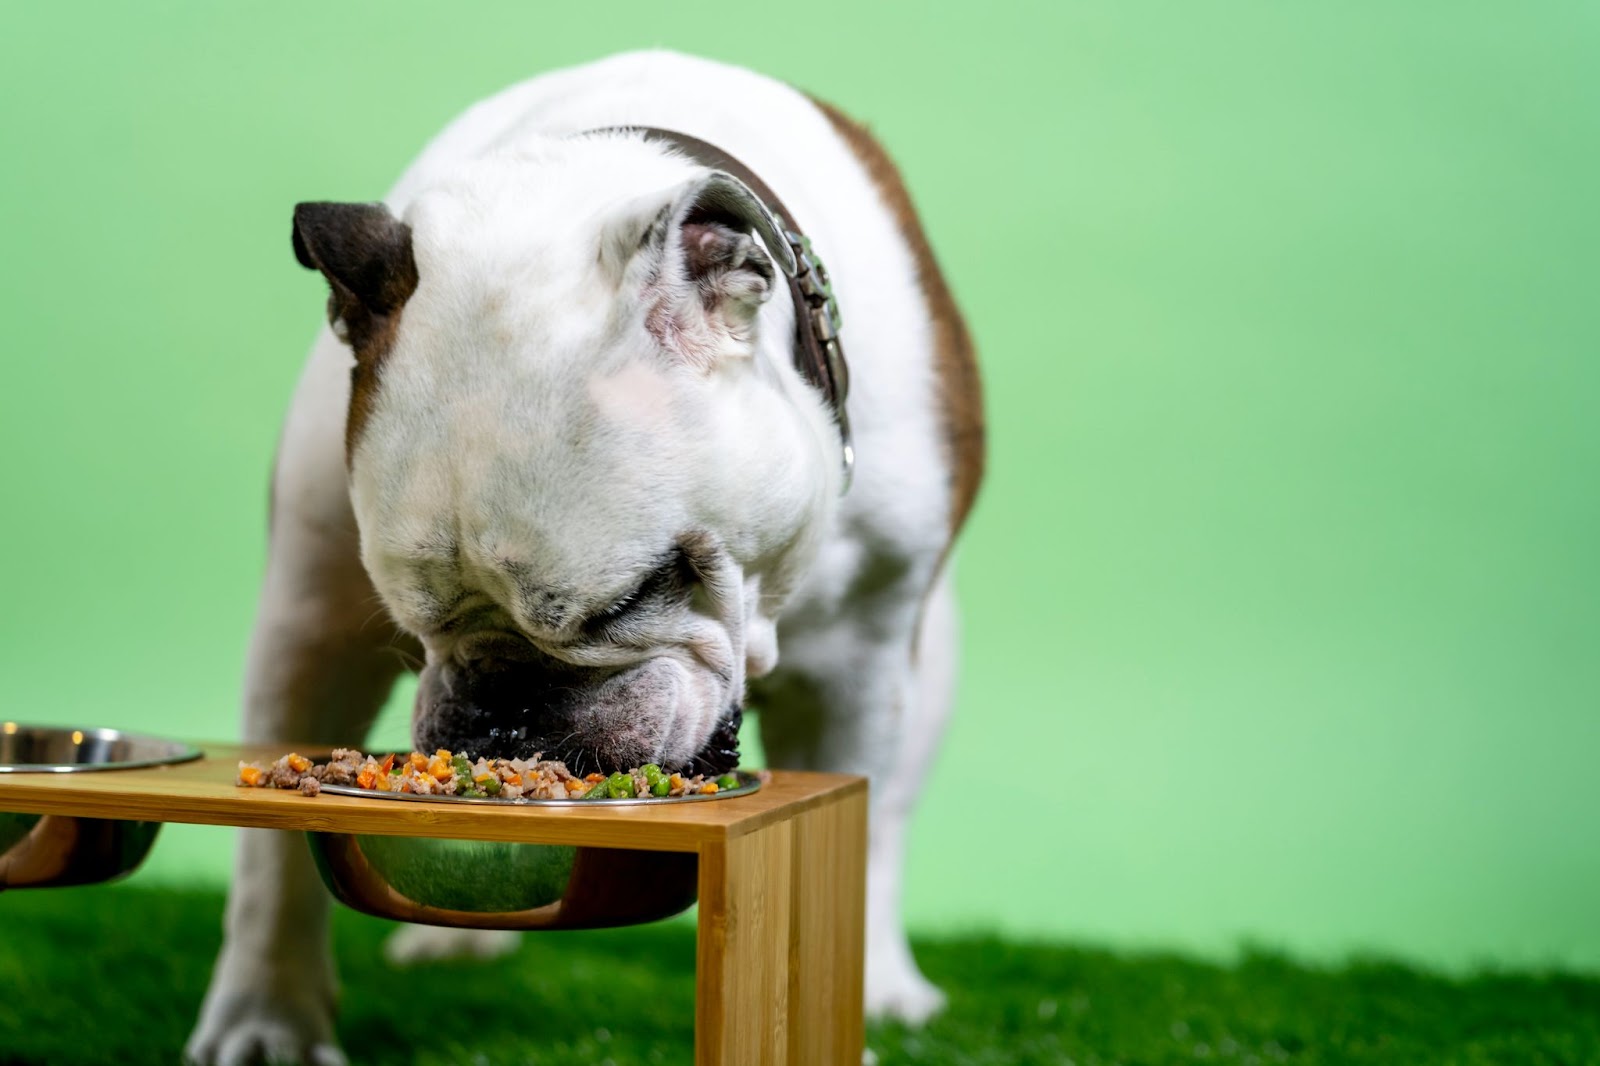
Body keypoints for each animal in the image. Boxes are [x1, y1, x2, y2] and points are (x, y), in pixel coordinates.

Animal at [181, 49, 979, 1062]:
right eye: (413, 624)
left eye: (631, 599)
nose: (505, 705)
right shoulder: (308, 621)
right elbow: (270, 855)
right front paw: (265, 1018)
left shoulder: (861, 670)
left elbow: (857, 834)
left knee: (892, 821)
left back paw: (891, 986)